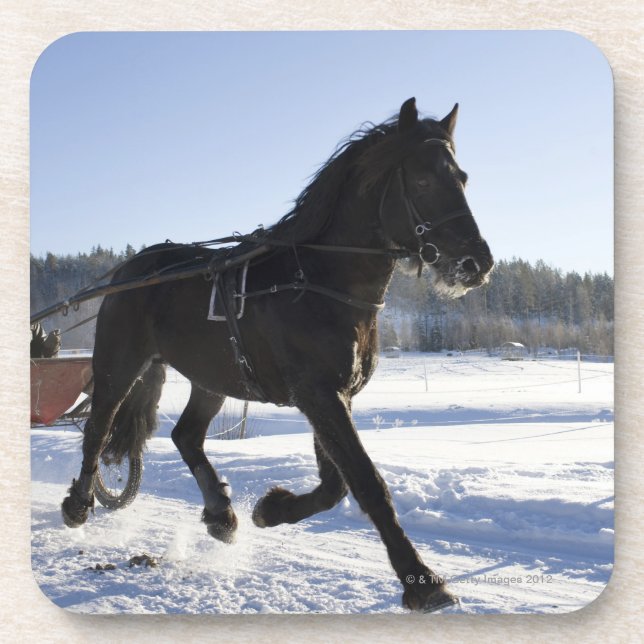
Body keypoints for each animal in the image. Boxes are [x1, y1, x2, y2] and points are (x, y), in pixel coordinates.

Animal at [62, 97, 493, 612]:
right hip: (119, 361)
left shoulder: (336, 395)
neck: (321, 281)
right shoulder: (318, 394)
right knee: (99, 426)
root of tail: (132, 268)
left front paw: (273, 508)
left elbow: (335, 484)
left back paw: (220, 514)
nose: (476, 262)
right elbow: (365, 481)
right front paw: (421, 580)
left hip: (211, 376)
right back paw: (78, 503)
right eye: (424, 180)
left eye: (462, 178)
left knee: (186, 436)